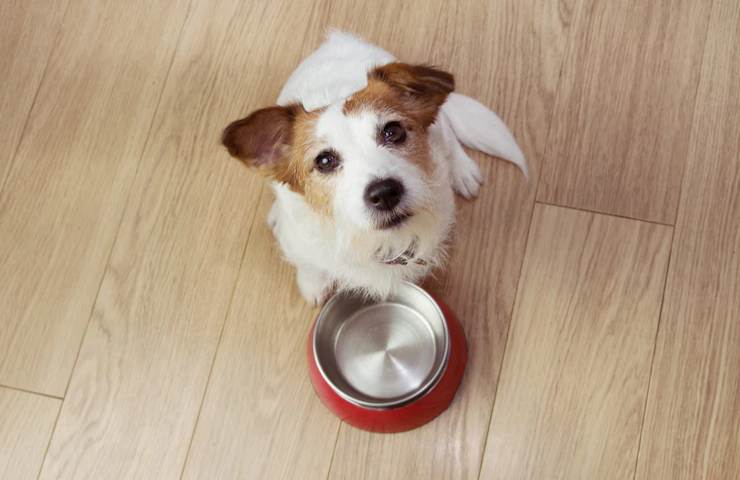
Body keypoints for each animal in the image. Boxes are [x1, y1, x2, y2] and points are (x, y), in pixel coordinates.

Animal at [221, 31, 528, 306]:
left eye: (393, 131)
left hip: (440, 127)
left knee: (450, 135)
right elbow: (309, 265)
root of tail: (337, 38)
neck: (372, 240)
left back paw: (463, 171)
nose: (385, 193)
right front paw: (313, 285)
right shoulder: (301, 244)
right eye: (324, 161)